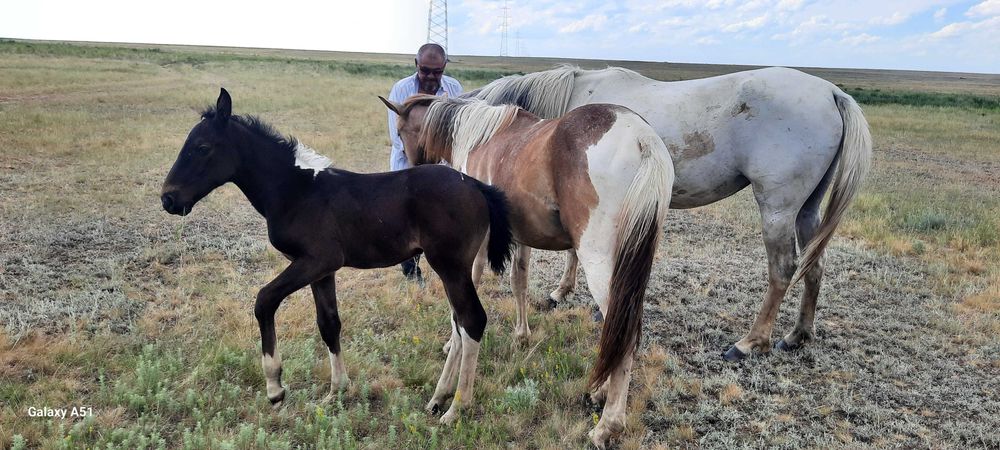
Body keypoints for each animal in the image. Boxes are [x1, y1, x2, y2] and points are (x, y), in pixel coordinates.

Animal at [161, 88, 514, 425]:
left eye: (202, 147)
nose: (168, 198)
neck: (296, 191)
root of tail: (476, 185)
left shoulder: (316, 260)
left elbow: (264, 300)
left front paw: (275, 387)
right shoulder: (322, 271)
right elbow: (329, 323)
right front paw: (336, 391)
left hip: (449, 265)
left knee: (471, 320)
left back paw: (456, 408)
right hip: (454, 268)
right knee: (459, 324)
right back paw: (438, 398)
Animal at [380, 94, 674, 448]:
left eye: (400, 131)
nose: (411, 173)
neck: (481, 136)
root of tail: (641, 137)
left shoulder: (477, 247)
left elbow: (467, 302)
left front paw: (453, 348)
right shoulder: (520, 237)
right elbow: (519, 281)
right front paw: (522, 334)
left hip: (601, 265)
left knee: (623, 330)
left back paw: (607, 424)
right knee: (618, 331)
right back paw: (601, 391)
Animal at [469, 65, 872, 361]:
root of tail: (831, 92)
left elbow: (577, 251)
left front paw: (562, 294)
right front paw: (567, 293)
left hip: (778, 209)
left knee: (783, 270)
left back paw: (749, 343)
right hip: (807, 209)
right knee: (814, 266)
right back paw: (798, 335)